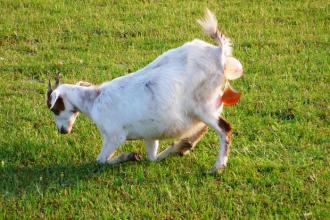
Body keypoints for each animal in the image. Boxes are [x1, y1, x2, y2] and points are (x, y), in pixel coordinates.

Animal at [46, 9, 242, 173]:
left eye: (54, 108)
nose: (62, 131)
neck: (94, 100)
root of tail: (219, 54)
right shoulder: (150, 134)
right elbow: (152, 157)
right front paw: (176, 147)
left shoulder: (114, 135)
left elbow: (101, 160)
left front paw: (130, 156)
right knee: (203, 127)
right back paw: (187, 146)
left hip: (203, 105)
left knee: (225, 128)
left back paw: (217, 167)